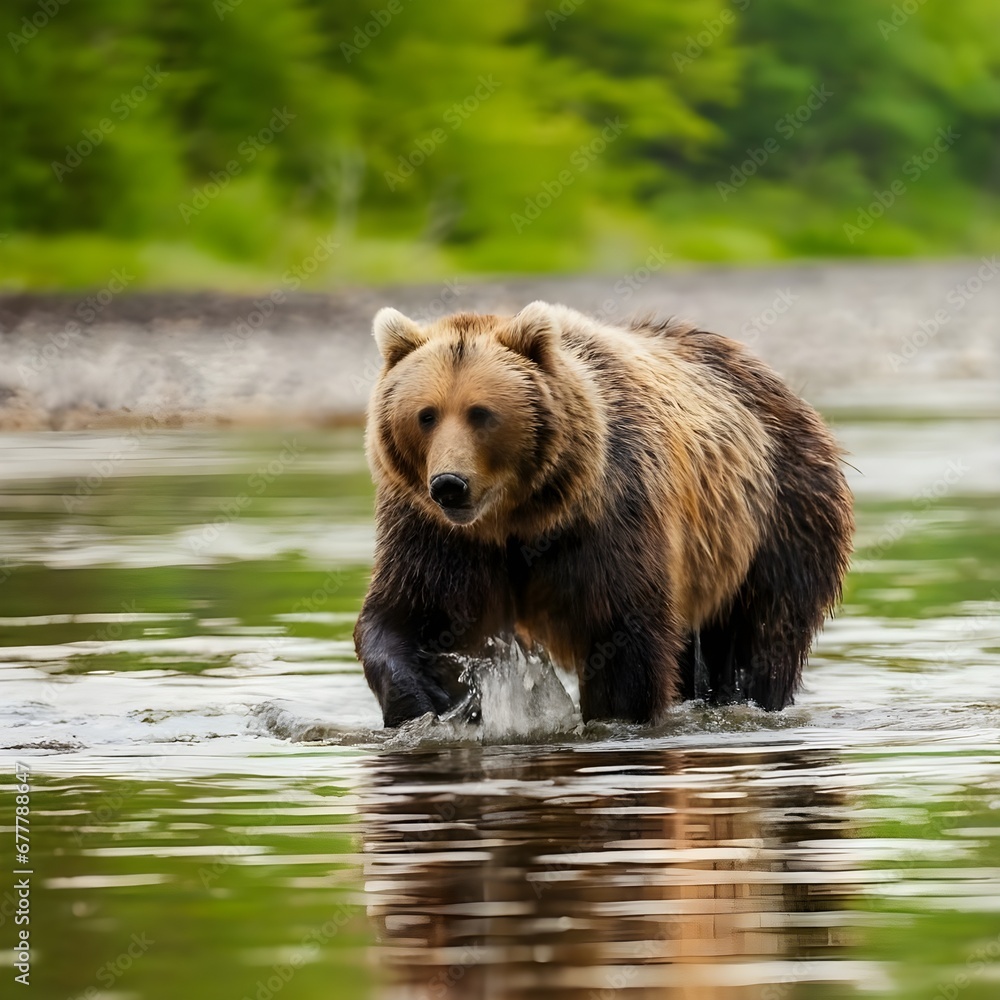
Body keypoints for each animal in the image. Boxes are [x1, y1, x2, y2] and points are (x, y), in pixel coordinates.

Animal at [354, 301, 854, 728]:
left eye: (481, 413)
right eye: (426, 415)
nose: (449, 484)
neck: (520, 517)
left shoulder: (606, 518)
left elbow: (622, 634)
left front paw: (615, 718)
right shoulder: (435, 533)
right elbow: (409, 617)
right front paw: (429, 700)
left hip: (777, 517)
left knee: (762, 637)